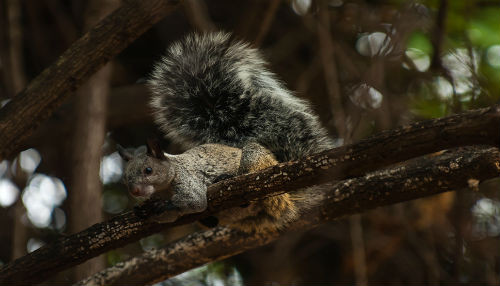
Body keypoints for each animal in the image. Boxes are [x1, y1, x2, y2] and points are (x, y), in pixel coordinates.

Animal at [118, 32, 334, 231]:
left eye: (148, 170)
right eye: (125, 178)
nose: (135, 191)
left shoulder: (188, 180)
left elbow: (195, 202)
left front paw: (164, 205)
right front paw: (143, 209)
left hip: (255, 161)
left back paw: (227, 179)